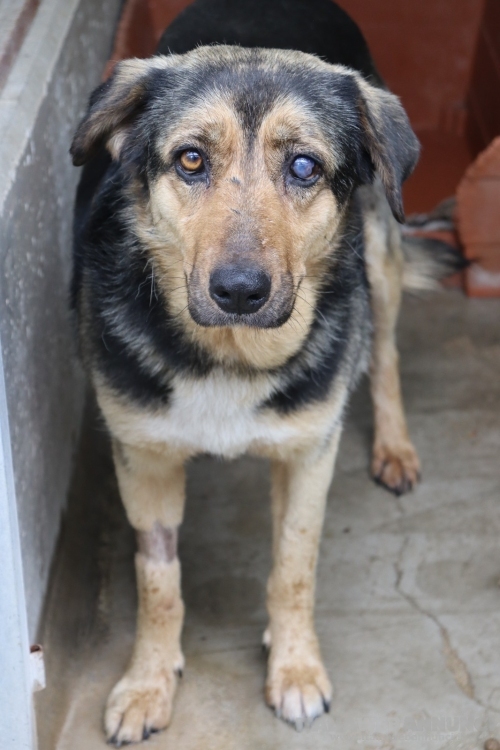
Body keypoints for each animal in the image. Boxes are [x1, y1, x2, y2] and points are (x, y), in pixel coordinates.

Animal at [70, 0, 464, 744]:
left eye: (305, 166)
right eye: (191, 158)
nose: (240, 291)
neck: (231, 354)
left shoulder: (311, 452)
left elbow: (294, 566)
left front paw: (297, 670)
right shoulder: (143, 459)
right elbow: (157, 581)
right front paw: (147, 682)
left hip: (380, 257)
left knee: (385, 353)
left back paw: (395, 447)